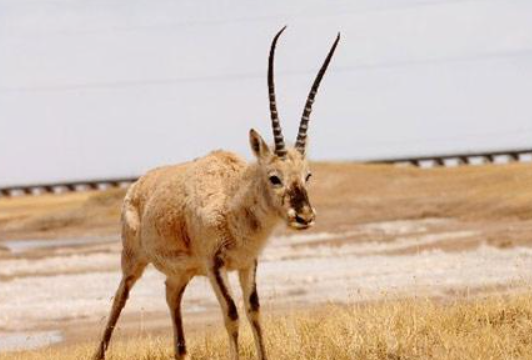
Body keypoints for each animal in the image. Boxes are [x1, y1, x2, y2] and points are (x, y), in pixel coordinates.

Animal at [93, 27, 338, 360]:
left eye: (307, 175)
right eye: (274, 177)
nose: (304, 216)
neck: (233, 198)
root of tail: (137, 185)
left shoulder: (248, 262)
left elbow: (254, 310)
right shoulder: (214, 265)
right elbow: (232, 314)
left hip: (180, 273)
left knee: (171, 295)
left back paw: (181, 352)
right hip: (132, 261)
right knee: (120, 297)